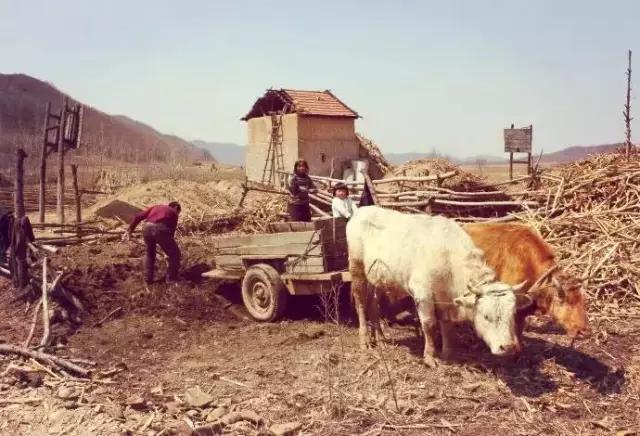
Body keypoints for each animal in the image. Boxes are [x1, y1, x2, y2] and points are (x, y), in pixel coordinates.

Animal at [348, 206, 528, 366]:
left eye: (512, 315)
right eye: (486, 316)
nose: (508, 347)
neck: (449, 258)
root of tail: (361, 210)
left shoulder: (445, 298)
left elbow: (446, 325)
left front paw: (447, 352)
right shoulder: (423, 293)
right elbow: (429, 325)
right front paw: (429, 357)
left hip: (376, 277)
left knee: (373, 302)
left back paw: (380, 338)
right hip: (356, 268)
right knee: (360, 303)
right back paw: (364, 340)